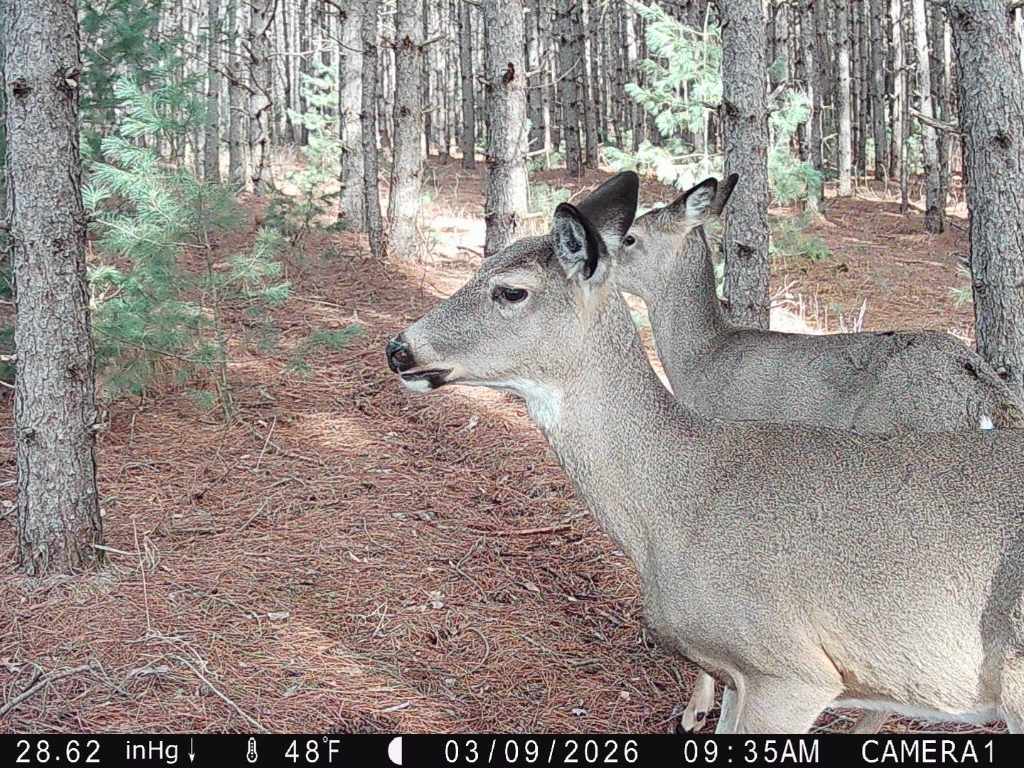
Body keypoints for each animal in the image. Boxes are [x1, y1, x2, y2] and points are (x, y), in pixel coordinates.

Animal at [386, 171, 1024, 734]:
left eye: (511, 290)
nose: (399, 348)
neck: (675, 501)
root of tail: (987, 394)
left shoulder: (788, 668)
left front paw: (690, 713)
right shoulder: (744, 674)